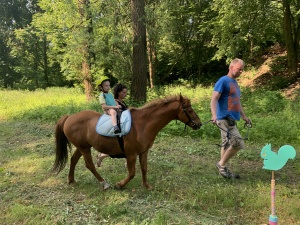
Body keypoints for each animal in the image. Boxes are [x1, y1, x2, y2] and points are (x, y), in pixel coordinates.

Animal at [53, 93, 202, 190]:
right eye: (189, 109)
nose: (199, 124)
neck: (143, 124)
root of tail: (69, 117)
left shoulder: (143, 152)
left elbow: (144, 169)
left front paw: (146, 185)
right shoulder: (131, 154)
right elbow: (132, 173)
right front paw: (120, 184)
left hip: (82, 147)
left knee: (73, 160)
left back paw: (71, 180)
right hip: (84, 148)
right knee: (90, 165)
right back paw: (104, 183)